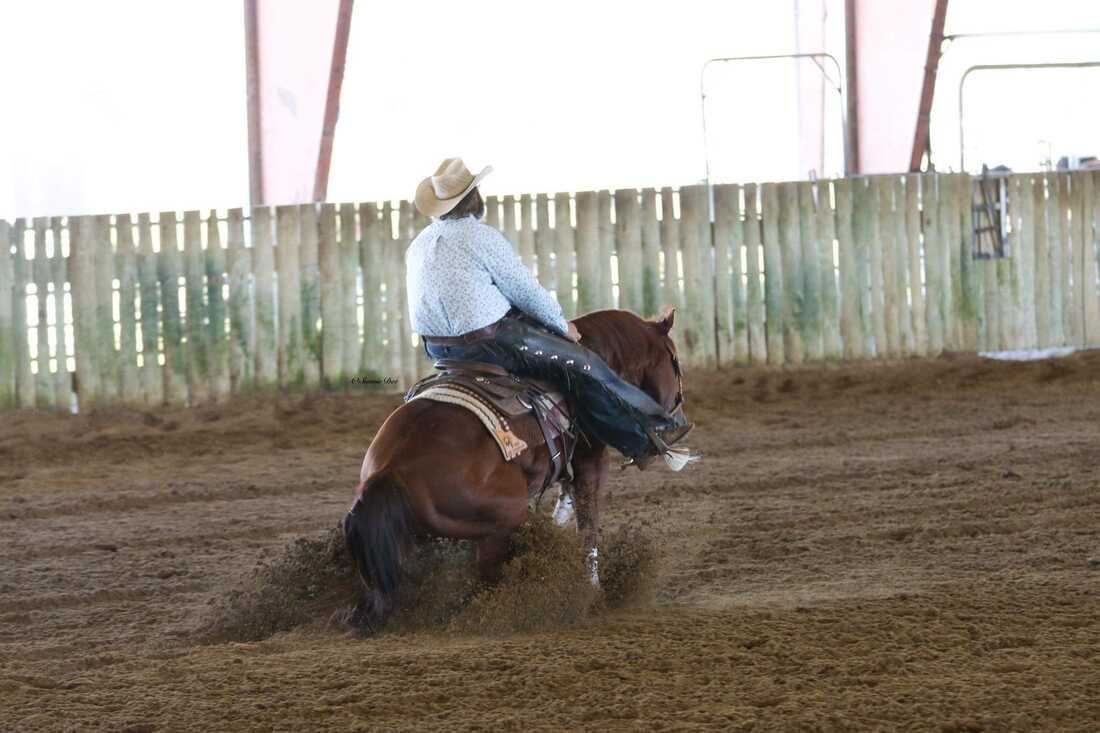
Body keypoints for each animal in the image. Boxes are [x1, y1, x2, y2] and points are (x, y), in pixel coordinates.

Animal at [343, 305, 686, 625]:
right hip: (505, 518)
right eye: (675, 362)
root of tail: (390, 470)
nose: (679, 421)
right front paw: (592, 590)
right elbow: (588, 524)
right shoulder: (591, 460)